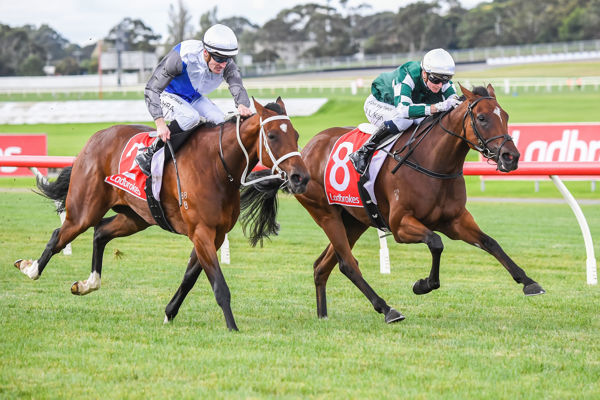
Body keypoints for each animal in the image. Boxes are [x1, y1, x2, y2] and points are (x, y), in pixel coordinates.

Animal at [14, 97, 310, 332]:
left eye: (295, 135)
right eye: (272, 135)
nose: (301, 177)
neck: (217, 165)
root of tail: (95, 138)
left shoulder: (214, 235)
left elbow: (190, 278)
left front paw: (169, 313)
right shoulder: (201, 232)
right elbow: (219, 285)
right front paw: (233, 327)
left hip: (135, 216)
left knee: (101, 232)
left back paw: (88, 284)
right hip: (84, 210)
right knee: (60, 235)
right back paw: (31, 268)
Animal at [241, 84, 548, 324]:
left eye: (505, 116)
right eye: (482, 118)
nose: (511, 157)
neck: (433, 162)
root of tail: (300, 155)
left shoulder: (456, 220)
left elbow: (490, 242)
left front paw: (529, 282)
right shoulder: (401, 225)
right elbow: (436, 243)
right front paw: (423, 284)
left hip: (354, 220)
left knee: (322, 265)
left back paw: (323, 315)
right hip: (325, 213)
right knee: (347, 264)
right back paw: (387, 309)